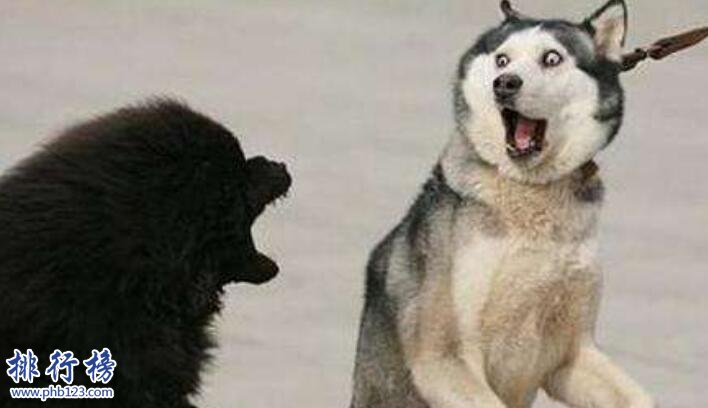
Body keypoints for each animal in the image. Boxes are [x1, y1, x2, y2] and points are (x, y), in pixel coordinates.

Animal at [350, 1, 655, 407]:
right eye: (502, 59)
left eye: (552, 58)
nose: (506, 83)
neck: (530, 193)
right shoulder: (443, 357)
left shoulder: (572, 355)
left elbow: (640, 397)